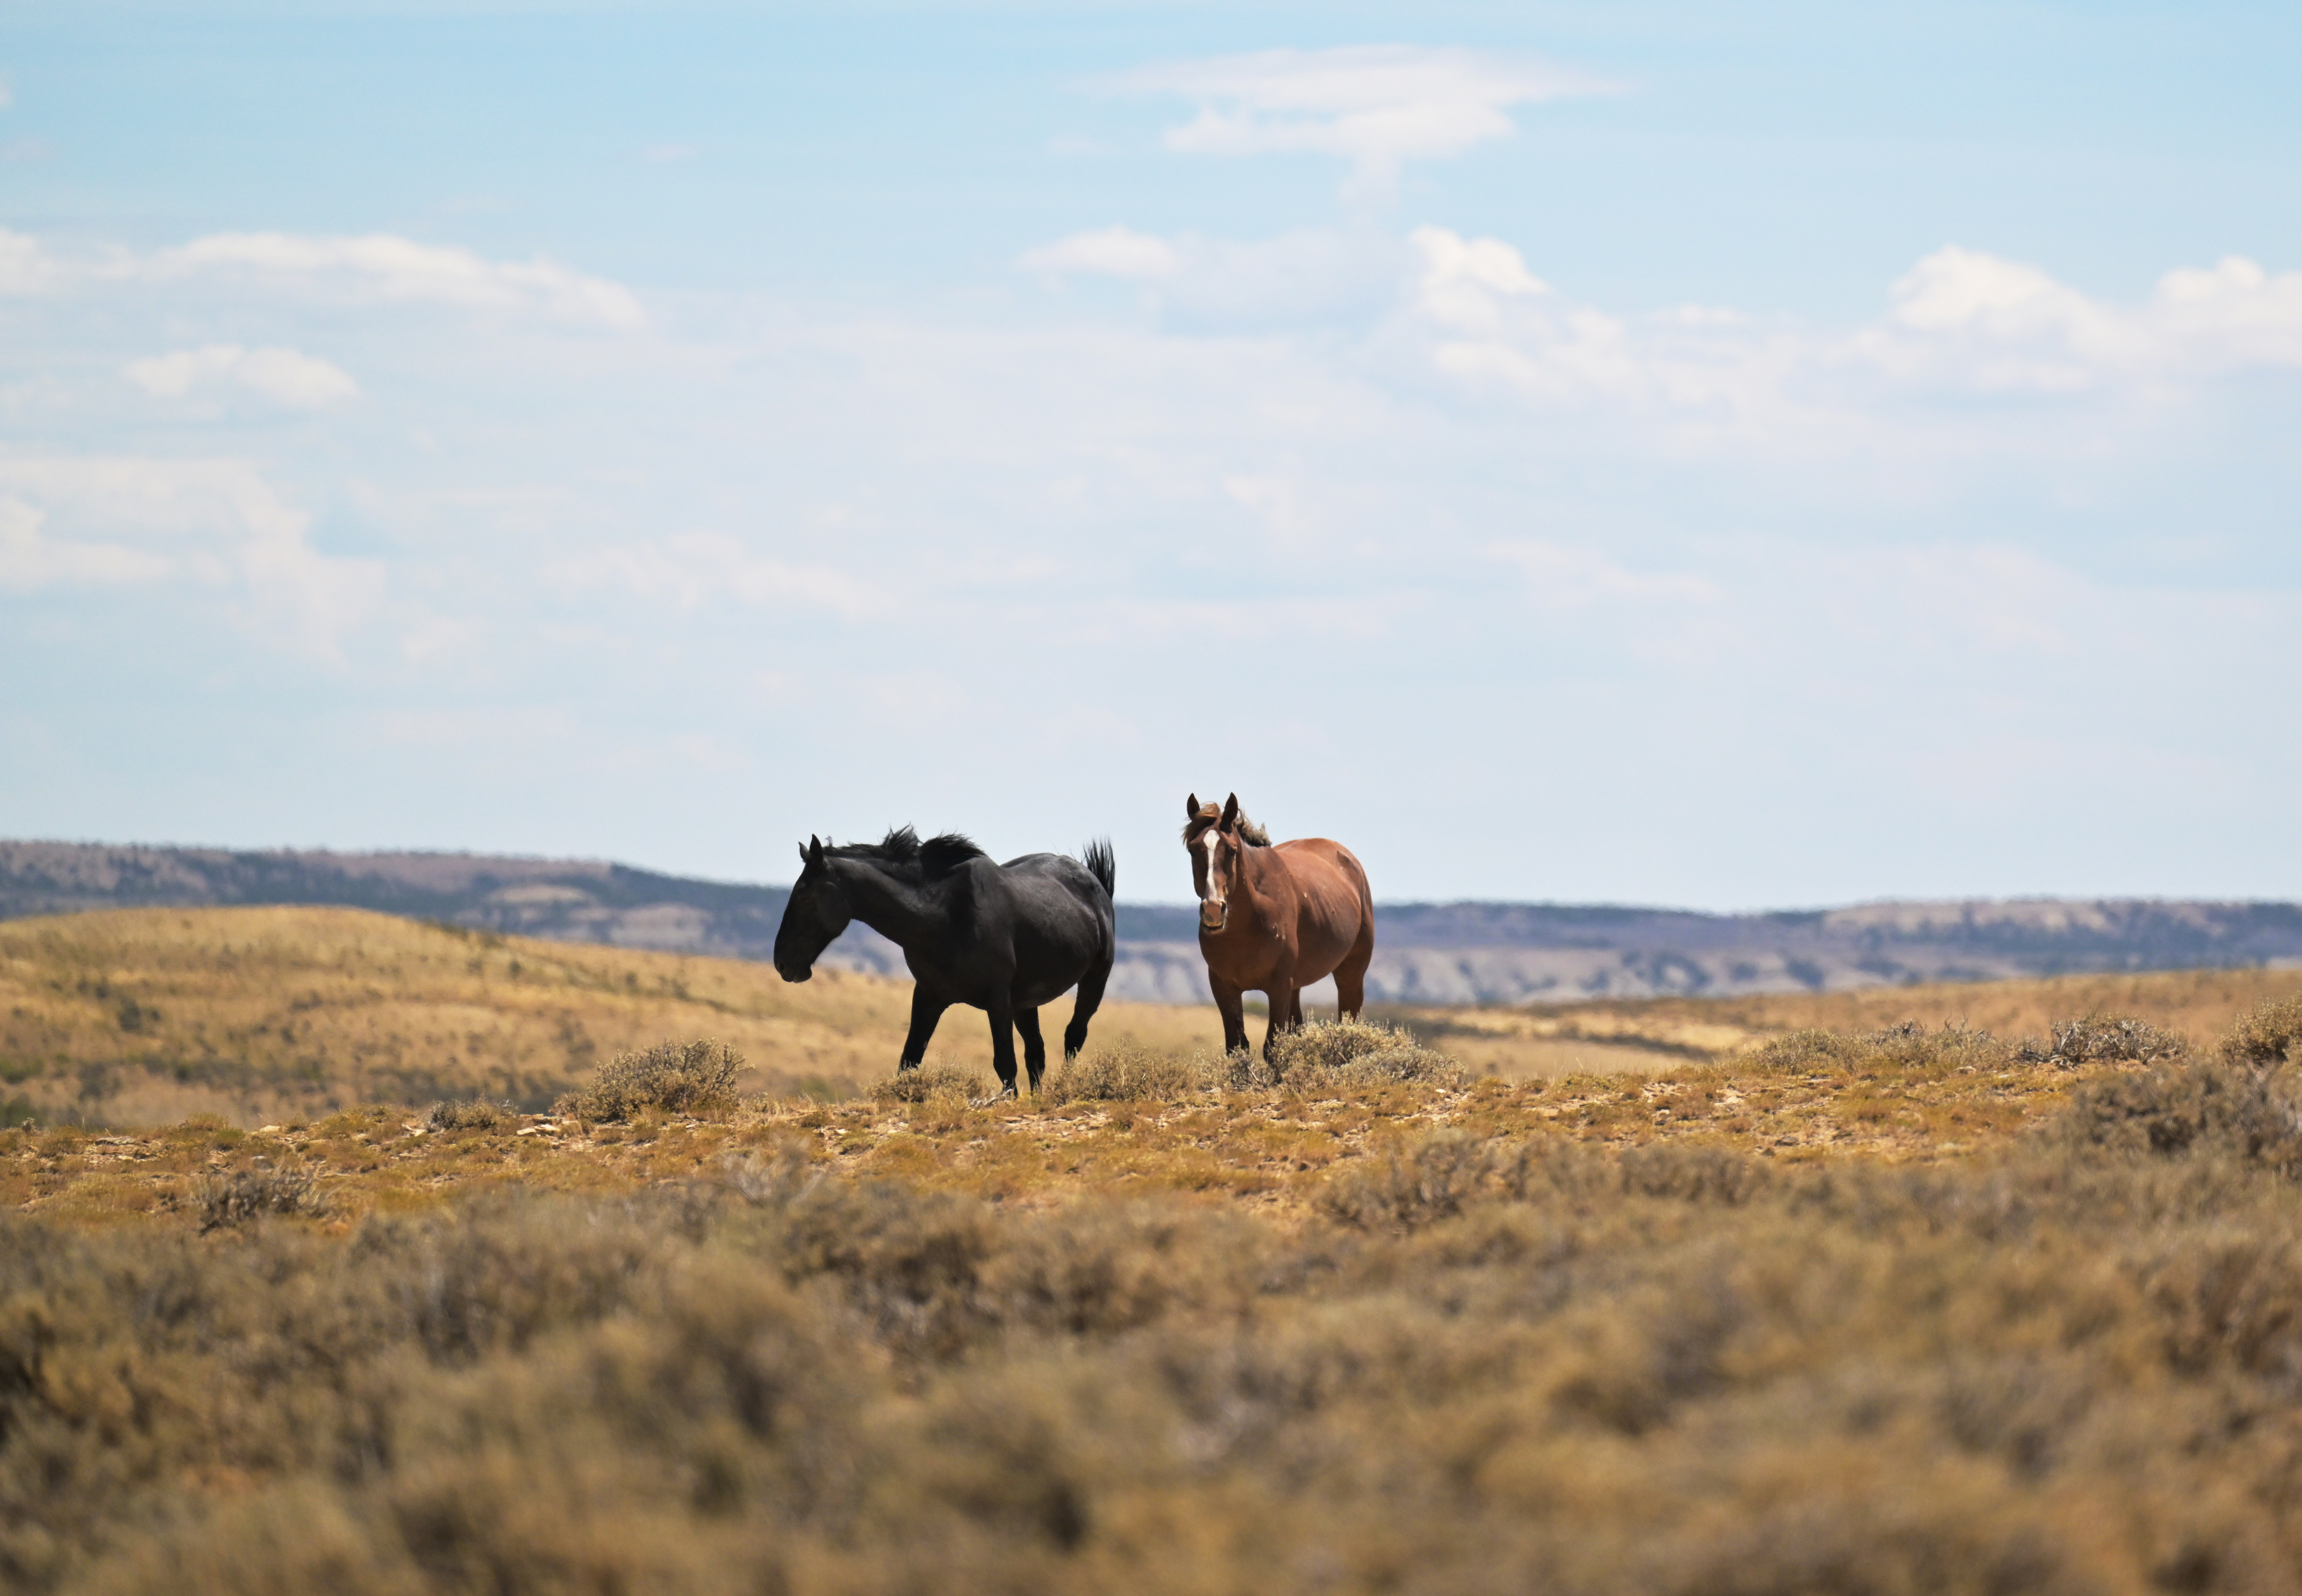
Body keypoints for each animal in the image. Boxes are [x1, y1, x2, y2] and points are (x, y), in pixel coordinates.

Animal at [772, 826, 1117, 1097]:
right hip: (1025, 1002)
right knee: (1037, 1052)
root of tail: (1093, 880)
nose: (782, 963)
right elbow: (909, 1060)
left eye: (803, 893)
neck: (943, 915)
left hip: (1093, 981)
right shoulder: (929, 996)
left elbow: (1004, 1064)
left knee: (1073, 1037)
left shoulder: (997, 1000)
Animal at [1183, 793, 1374, 1060]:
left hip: (1351, 974)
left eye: (1232, 850)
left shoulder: (1279, 987)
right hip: (1297, 986)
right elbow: (1237, 1047)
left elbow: (1272, 1048)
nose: (1213, 910)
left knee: (1349, 1023)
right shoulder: (1224, 987)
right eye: (1193, 850)